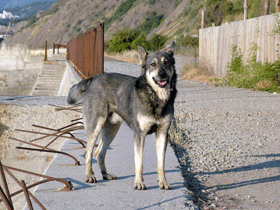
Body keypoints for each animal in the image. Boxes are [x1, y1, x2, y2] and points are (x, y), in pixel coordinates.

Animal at [67, 41, 177, 189]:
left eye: (166, 63)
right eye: (153, 64)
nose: (162, 75)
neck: (156, 98)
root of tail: (94, 78)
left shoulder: (162, 134)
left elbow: (161, 163)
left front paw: (163, 182)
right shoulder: (139, 135)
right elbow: (139, 162)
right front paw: (139, 183)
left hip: (111, 130)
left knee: (99, 152)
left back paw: (105, 174)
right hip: (95, 126)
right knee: (88, 153)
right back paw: (89, 176)